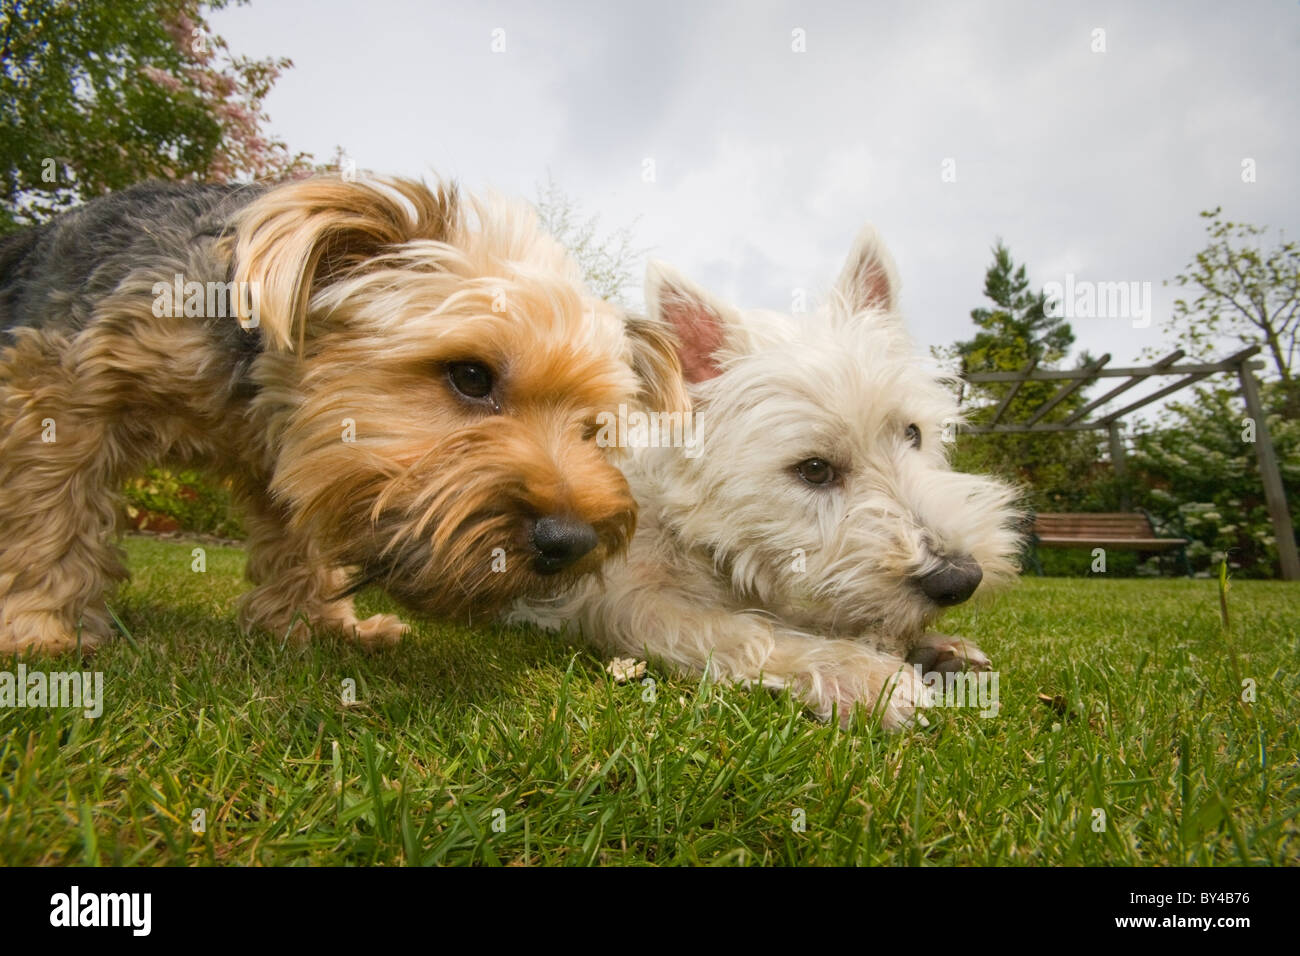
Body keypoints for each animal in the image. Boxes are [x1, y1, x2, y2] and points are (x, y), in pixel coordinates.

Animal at [512, 226, 1019, 723]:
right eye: (814, 469)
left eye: (913, 433)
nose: (959, 579)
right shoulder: (629, 601)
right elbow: (745, 631)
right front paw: (862, 674)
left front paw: (931, 649)